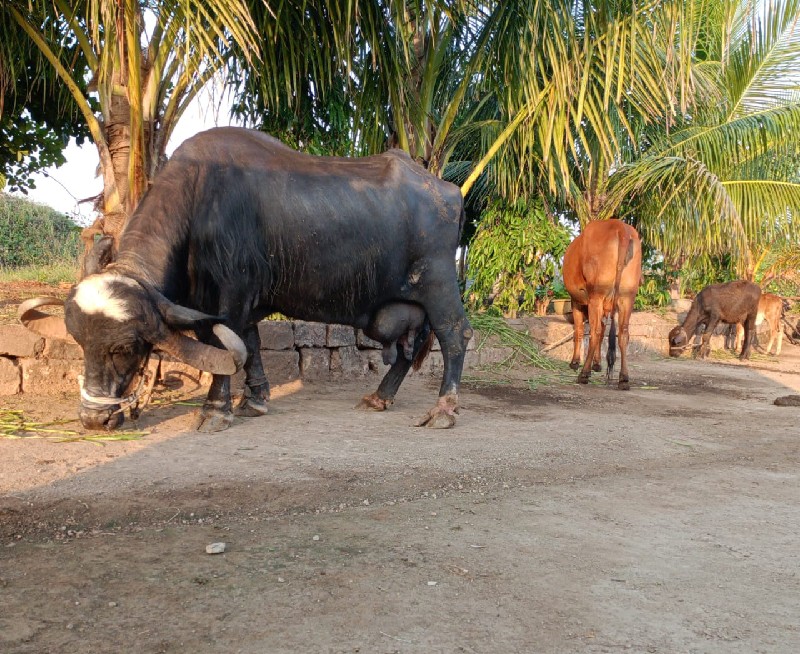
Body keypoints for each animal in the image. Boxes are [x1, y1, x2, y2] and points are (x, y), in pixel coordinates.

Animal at [18, 129, 472, 436]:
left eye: (126, 347)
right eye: (81, 343)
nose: (94, 419)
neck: (201, 197)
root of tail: (447, 191)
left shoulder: (232, 292)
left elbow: (225, 343)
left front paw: (216, 410)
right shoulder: (244, 301)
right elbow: (249, 343)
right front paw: (254, 399)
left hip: (438, 283)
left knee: (455, 334)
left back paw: (444, 409)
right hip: (399, 309)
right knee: (406, 349)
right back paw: (380, 397)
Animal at [564, 218, 644, 392]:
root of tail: (621, 228)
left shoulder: (576, 301)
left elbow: (579, 330)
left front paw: (575, 362)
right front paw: (597, 364)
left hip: (597, 294)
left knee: (595, 332)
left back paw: (584, 374)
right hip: (627, 296)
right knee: (623, 334)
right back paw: (623, 379)